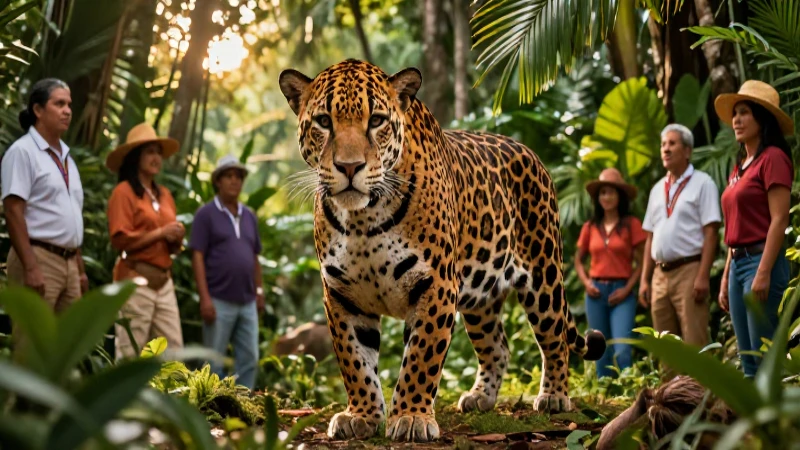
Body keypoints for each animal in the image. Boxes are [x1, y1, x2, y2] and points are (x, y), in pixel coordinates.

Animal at [278, 59, 606, 443]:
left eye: (376, 121)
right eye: (323, 122)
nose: (349, 167)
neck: (362, 219)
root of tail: (530, 152)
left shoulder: (435, 283)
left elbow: (421, 356)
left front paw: (411, 417)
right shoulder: (341, 294)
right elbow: (354, 361)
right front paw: (361, 415)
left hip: (543, 274)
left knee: (554, 339)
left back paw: (554, 396)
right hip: (480, 295)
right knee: (498, 345)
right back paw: (480, 397)